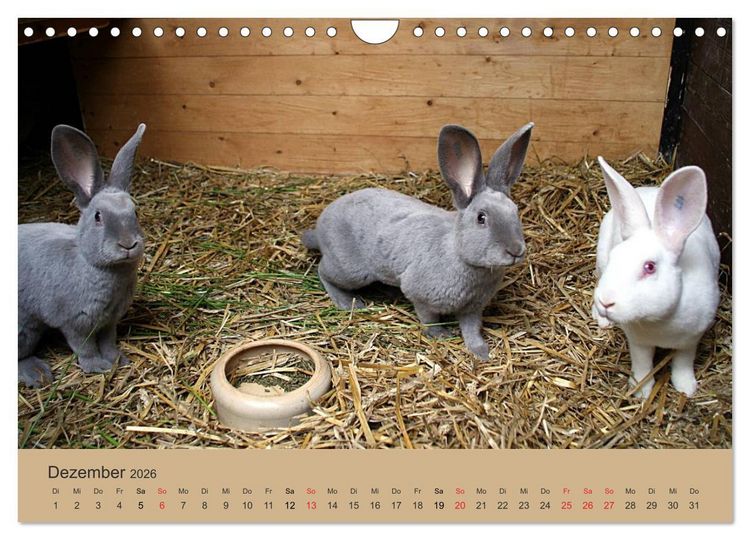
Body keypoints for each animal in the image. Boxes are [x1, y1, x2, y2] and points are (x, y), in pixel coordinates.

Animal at [18, 123, 147, 387]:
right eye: (98, 217)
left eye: (135, 213)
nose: (128, 244)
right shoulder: (74, 322)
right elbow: (84, 347)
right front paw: (98, 367)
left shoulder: (109, 321)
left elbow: (108, 342)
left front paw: (118, 360)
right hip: (23, 328)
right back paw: (37, 373)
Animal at [302, 123, 534, 359]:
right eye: (481, 218)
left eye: (515, 211)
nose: (516, 250)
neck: (458, 252)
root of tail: (320, 227)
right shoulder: (421, 297)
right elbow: (429, 319)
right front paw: (441, 335)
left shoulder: (473, 309)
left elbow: (472, 329)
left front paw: (481, 352)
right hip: (350, 271)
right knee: (323, 271)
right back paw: (347, 302)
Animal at [592, 157, 720, 398]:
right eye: (616, 256)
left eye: (649, 267)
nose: (606, 302)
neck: (658, 322)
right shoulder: (638, 342)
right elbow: (642, 365)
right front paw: (641, 390)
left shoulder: (691, 340)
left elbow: (683, 363)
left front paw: (686, 388)